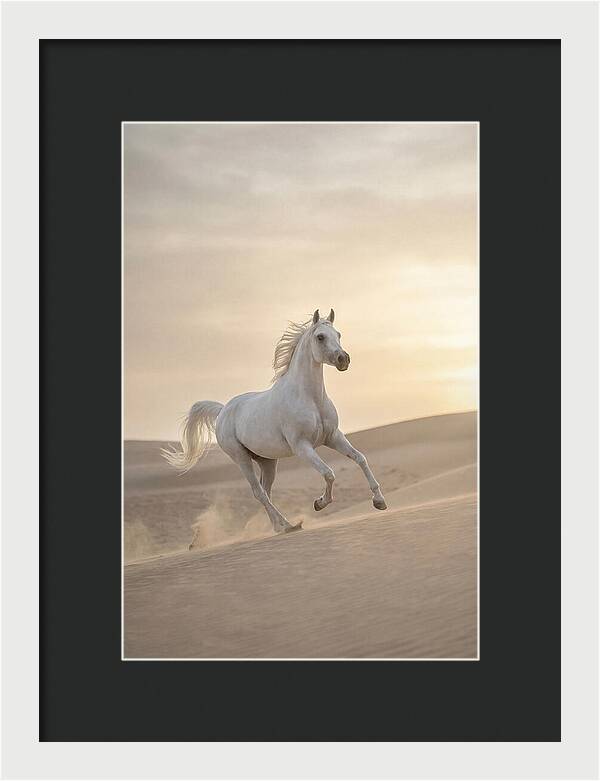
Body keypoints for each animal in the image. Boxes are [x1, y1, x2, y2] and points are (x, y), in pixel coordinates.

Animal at [162, 309, 387, 535]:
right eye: (320, 337)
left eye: (338, 334)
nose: (343, 359)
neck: (310, 398)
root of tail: (223, 410)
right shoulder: (302, 447)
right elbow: (328, 473)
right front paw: (319, 503)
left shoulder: (333, 437)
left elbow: (360, 458)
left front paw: (379, 501)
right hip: (241, 458)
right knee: (258, 492)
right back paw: (287, 525)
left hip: (267, 461)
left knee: (266, 491)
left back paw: (279, 526)